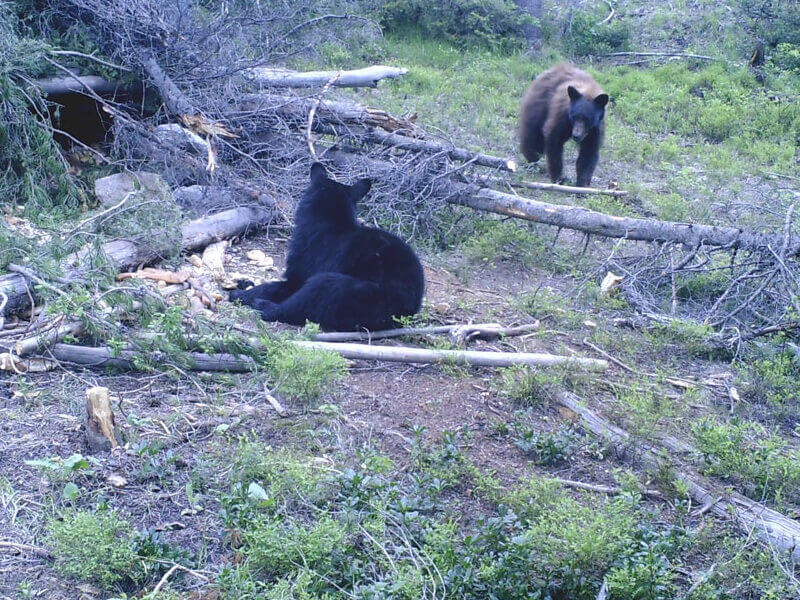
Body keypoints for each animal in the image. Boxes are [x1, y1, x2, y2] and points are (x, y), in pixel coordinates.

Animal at [231, 164, 424, 330]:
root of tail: (403, 312)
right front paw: (244, 284)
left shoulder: (308, 257)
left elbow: (285, 284)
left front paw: (243, 294)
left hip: (359, 291)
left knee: (311, 295)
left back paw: (262, 306)